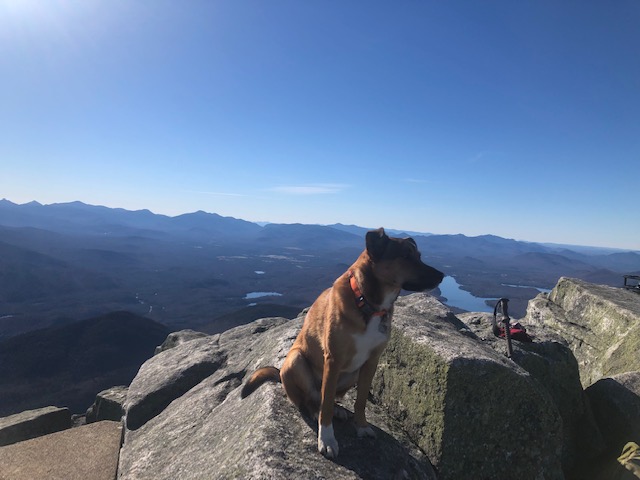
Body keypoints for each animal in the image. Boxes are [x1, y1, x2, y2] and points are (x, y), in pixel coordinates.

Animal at [241, 228, 444, 458]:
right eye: (406, 256)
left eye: (419, 256)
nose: (441, 276)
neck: (367, 303)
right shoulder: (333, 360)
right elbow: (326, 405)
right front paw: (327, 439)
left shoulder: (371, 363)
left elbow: (361, 400)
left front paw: (362, 426)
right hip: (295, 360)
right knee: (311, 401)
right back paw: (315, 411)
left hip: (351, 373)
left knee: (327, 398)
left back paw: (339, 410)